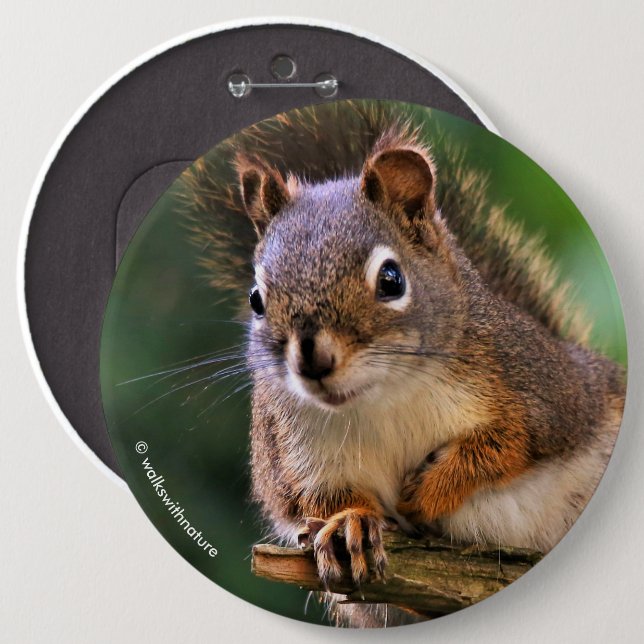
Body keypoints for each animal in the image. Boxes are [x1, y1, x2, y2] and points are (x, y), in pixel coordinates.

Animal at [178, 100, 626, 627]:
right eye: (255, 299)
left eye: (391, 279)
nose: (313, 361)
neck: (383, 398)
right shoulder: (288, 451)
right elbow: (309, 499)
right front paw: (348, 522)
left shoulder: (545, 392)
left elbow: (507, 445)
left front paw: (430, 490)